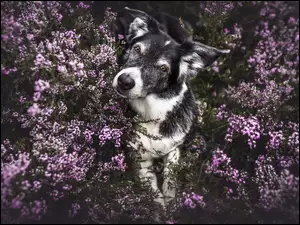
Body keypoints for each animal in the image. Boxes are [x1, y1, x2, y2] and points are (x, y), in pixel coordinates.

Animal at [111, 6, 229, 207]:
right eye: (137, 49)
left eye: (163, 69)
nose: (124, 81)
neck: (151, 111)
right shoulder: (139, 156)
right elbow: (151, 186)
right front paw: (160, 206)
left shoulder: (175, 147)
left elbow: (171, 172)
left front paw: (171, 199)